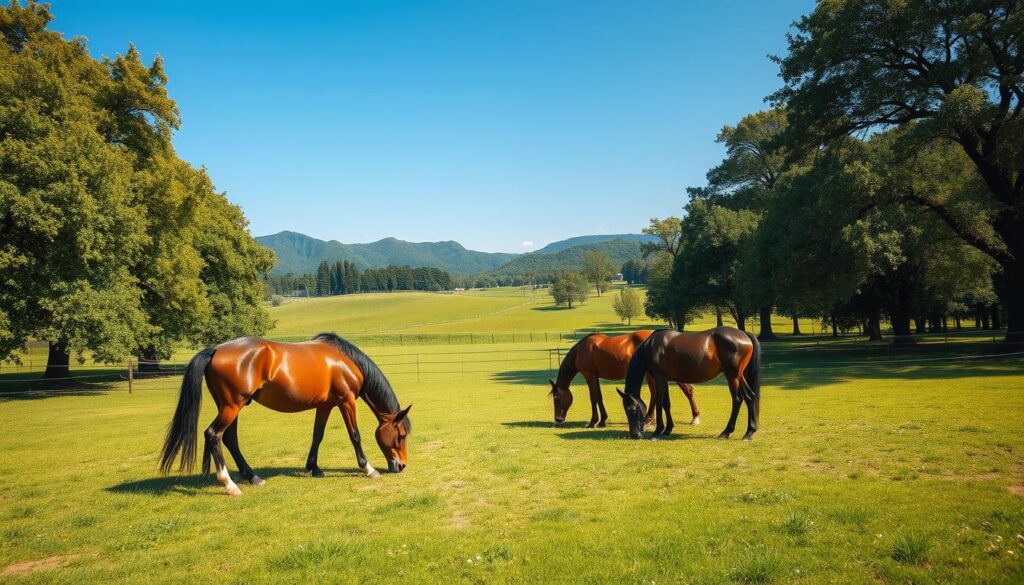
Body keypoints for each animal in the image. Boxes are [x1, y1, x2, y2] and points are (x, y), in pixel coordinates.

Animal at [157, 333, 409, 493]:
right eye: (402, 435)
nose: (402, 466)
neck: (345, 361)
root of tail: (215, 350)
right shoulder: (346, 401)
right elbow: (355, 435)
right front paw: (368, 468)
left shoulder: (325, 405)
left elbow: (317, 436)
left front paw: (314, 468)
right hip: (232, 405)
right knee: (213, 435)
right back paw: (229, 484)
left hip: (229, 405)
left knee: (229, 438)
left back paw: (252, 477)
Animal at [548, 331, 700, 428]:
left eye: (556, 397)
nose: (558, 419)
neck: (582, 349)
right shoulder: (595, 376)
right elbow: (599, 397)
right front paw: (602, 421)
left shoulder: (589, 374)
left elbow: (593, 397)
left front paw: (593, 421)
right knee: (684, 391)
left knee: (656, 393)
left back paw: (649, 419)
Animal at [614, 327, 761, 442]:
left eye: (632, 410)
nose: (634, 435)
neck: (651, 347)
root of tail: (744, 334)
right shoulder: (665, 379)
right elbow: (666, 404)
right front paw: (668, 429)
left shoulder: (659, 378)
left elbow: (659, 403)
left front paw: (657, 432)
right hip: (739, 376)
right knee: (750, 397)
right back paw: (749, 433)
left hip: (732, 376)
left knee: (737, 400)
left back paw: (726, 432)